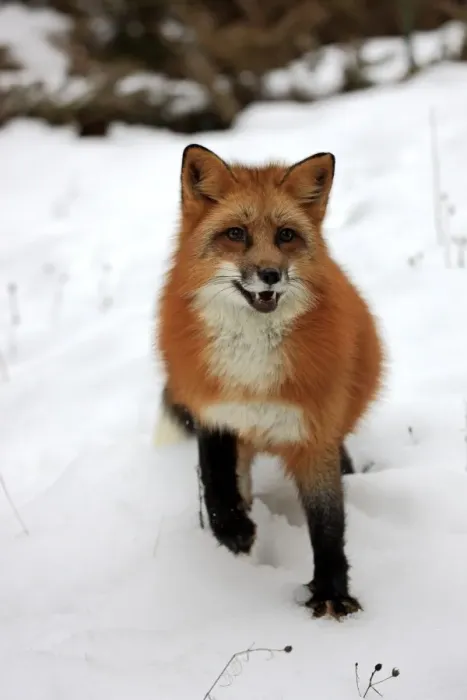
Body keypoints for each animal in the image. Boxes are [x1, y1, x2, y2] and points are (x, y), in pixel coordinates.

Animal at [156, 144, 384, 619]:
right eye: (236, 234)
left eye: (286, 236)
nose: (270, 275)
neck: (251, 369)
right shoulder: (216, 412)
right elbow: (216, 482)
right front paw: (233, 532)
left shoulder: (314, 431)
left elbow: (328, 522)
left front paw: (332, 593)